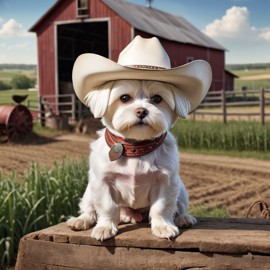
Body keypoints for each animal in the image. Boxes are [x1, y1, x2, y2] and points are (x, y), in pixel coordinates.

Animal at [67, 35, 211, 240]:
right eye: (124, 98)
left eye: (157, 99)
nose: (142, 111)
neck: (135, 148)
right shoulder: (103, 181)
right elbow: (108, 207)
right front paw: (105, 227)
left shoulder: (166, 181)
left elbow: (161, 207)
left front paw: (163, 226)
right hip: (89, 189)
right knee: (89, 207)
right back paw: (81, 220)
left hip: (181, 189)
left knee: (179, 207)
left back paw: (183, 218)